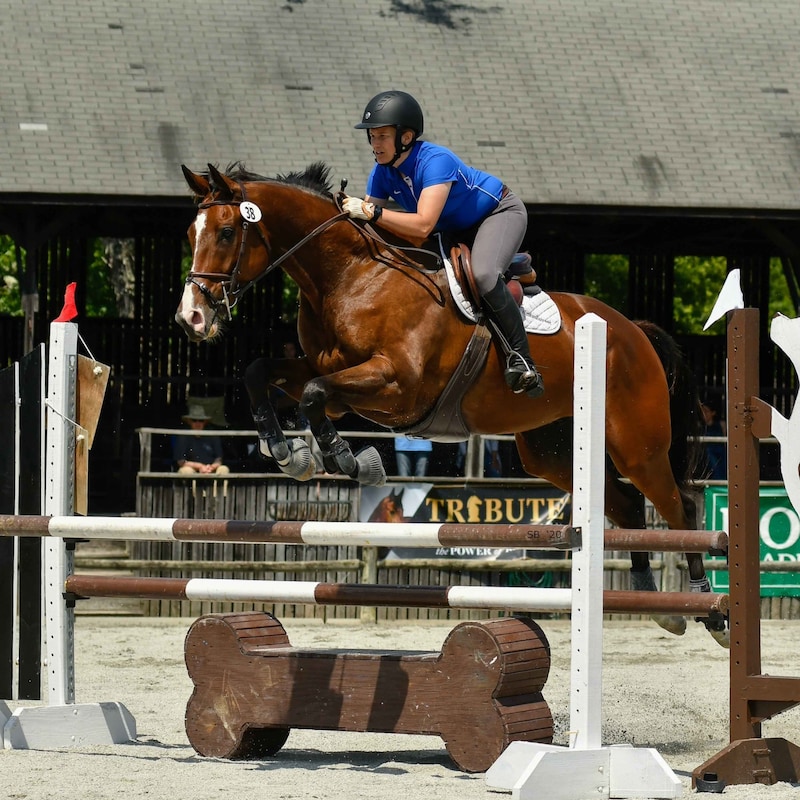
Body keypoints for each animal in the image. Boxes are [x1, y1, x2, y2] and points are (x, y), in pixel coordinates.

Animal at [175, 161, 727, 647]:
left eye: (226, 232)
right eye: (190, 233)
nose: (190, 319)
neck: (350, 276)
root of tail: (635, 330)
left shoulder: (396, 387)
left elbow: (314, 395)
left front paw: (353, 461)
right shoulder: (324, 370)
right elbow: (262, 375)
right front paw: (289, 454)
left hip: (636, 445)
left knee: (681, 505)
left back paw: (707, 609)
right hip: (550, 451)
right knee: (629, 506)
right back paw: (655, 604)